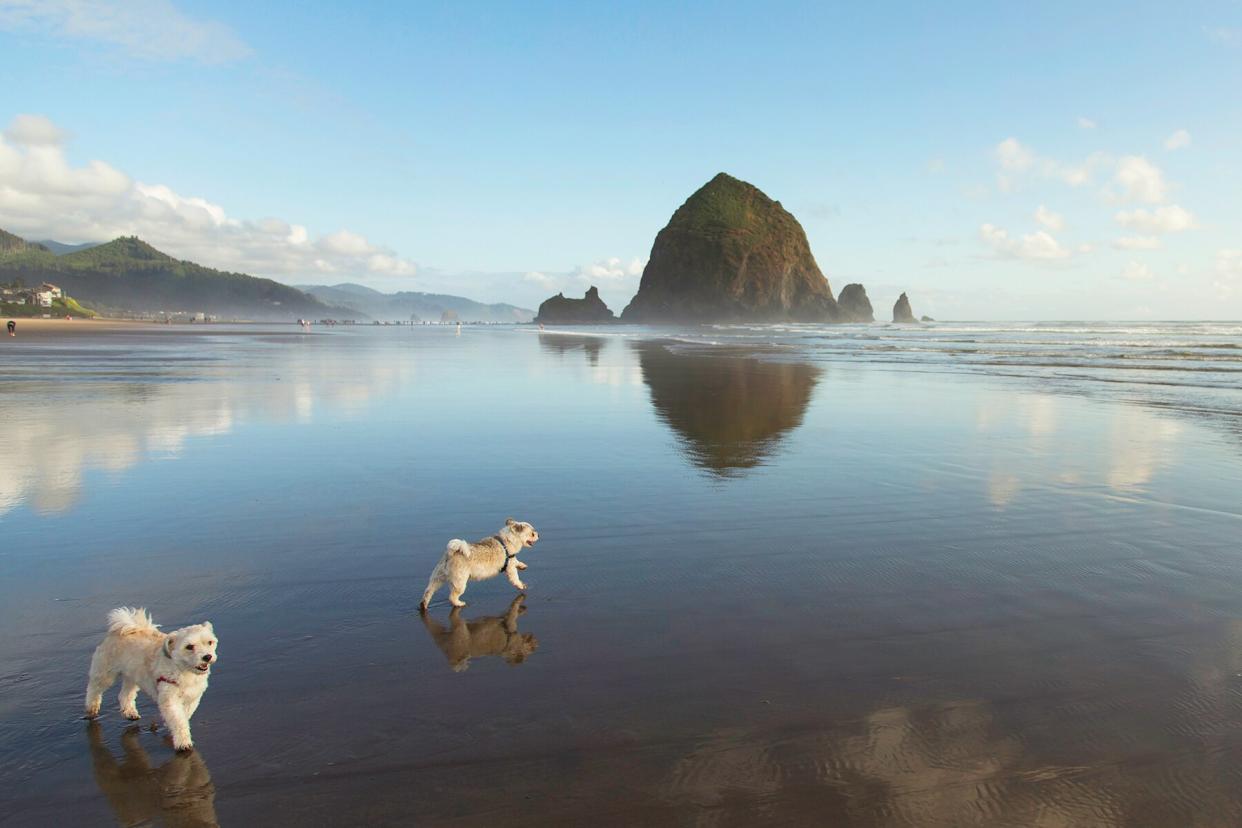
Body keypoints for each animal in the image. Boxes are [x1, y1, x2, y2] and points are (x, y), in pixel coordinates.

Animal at [83, 608, 218, 749]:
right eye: (189, 646)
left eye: (210, 642)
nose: (207, 657)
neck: (184, 670)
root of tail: (121, 630)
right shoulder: (169, 699)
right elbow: (178, 720)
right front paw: (183, 742)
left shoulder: (192, 698)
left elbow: (185, 715)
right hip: (105, 673)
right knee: (94, 689)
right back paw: (92, 708)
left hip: (133, 675)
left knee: (125, 695)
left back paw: (129, 712)